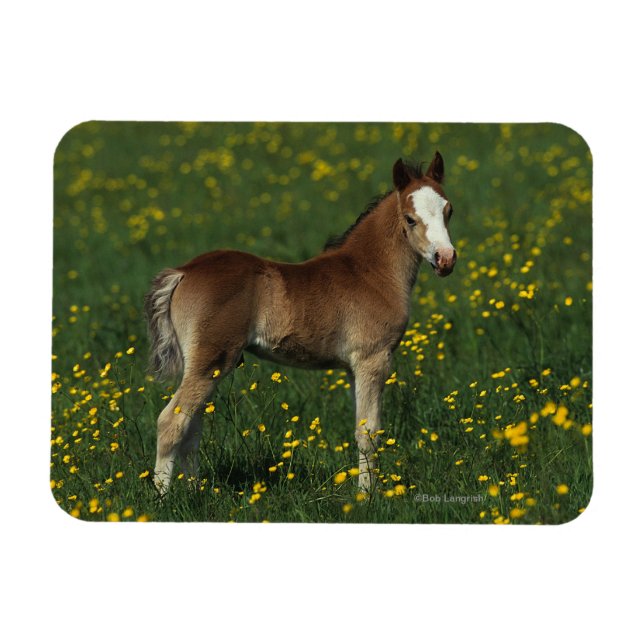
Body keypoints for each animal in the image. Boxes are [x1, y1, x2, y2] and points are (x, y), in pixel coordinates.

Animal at [145, 151, 457, 494]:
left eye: (448, 211)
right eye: (410, 218)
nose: (445, 259)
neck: (370, 273)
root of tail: (183, 271)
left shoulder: (352, 368)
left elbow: (360, 426)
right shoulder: (373, 359)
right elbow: (369, 433)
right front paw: (367, 496)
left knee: (192, 428)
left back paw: (195, 491)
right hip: (211, 360)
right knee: (171, 421)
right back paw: (164, 497)